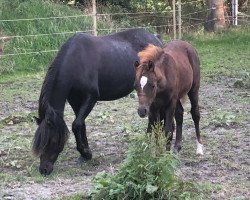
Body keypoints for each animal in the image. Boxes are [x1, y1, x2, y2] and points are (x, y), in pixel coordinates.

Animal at [32, 28, 162, 175]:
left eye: (52, 141)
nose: (44, 169)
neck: (76, 62)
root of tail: (156, 39)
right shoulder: (74, 100)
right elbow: (81, 124)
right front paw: (84, 155)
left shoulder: (91, 98)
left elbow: (76, 124)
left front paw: (86, 153)